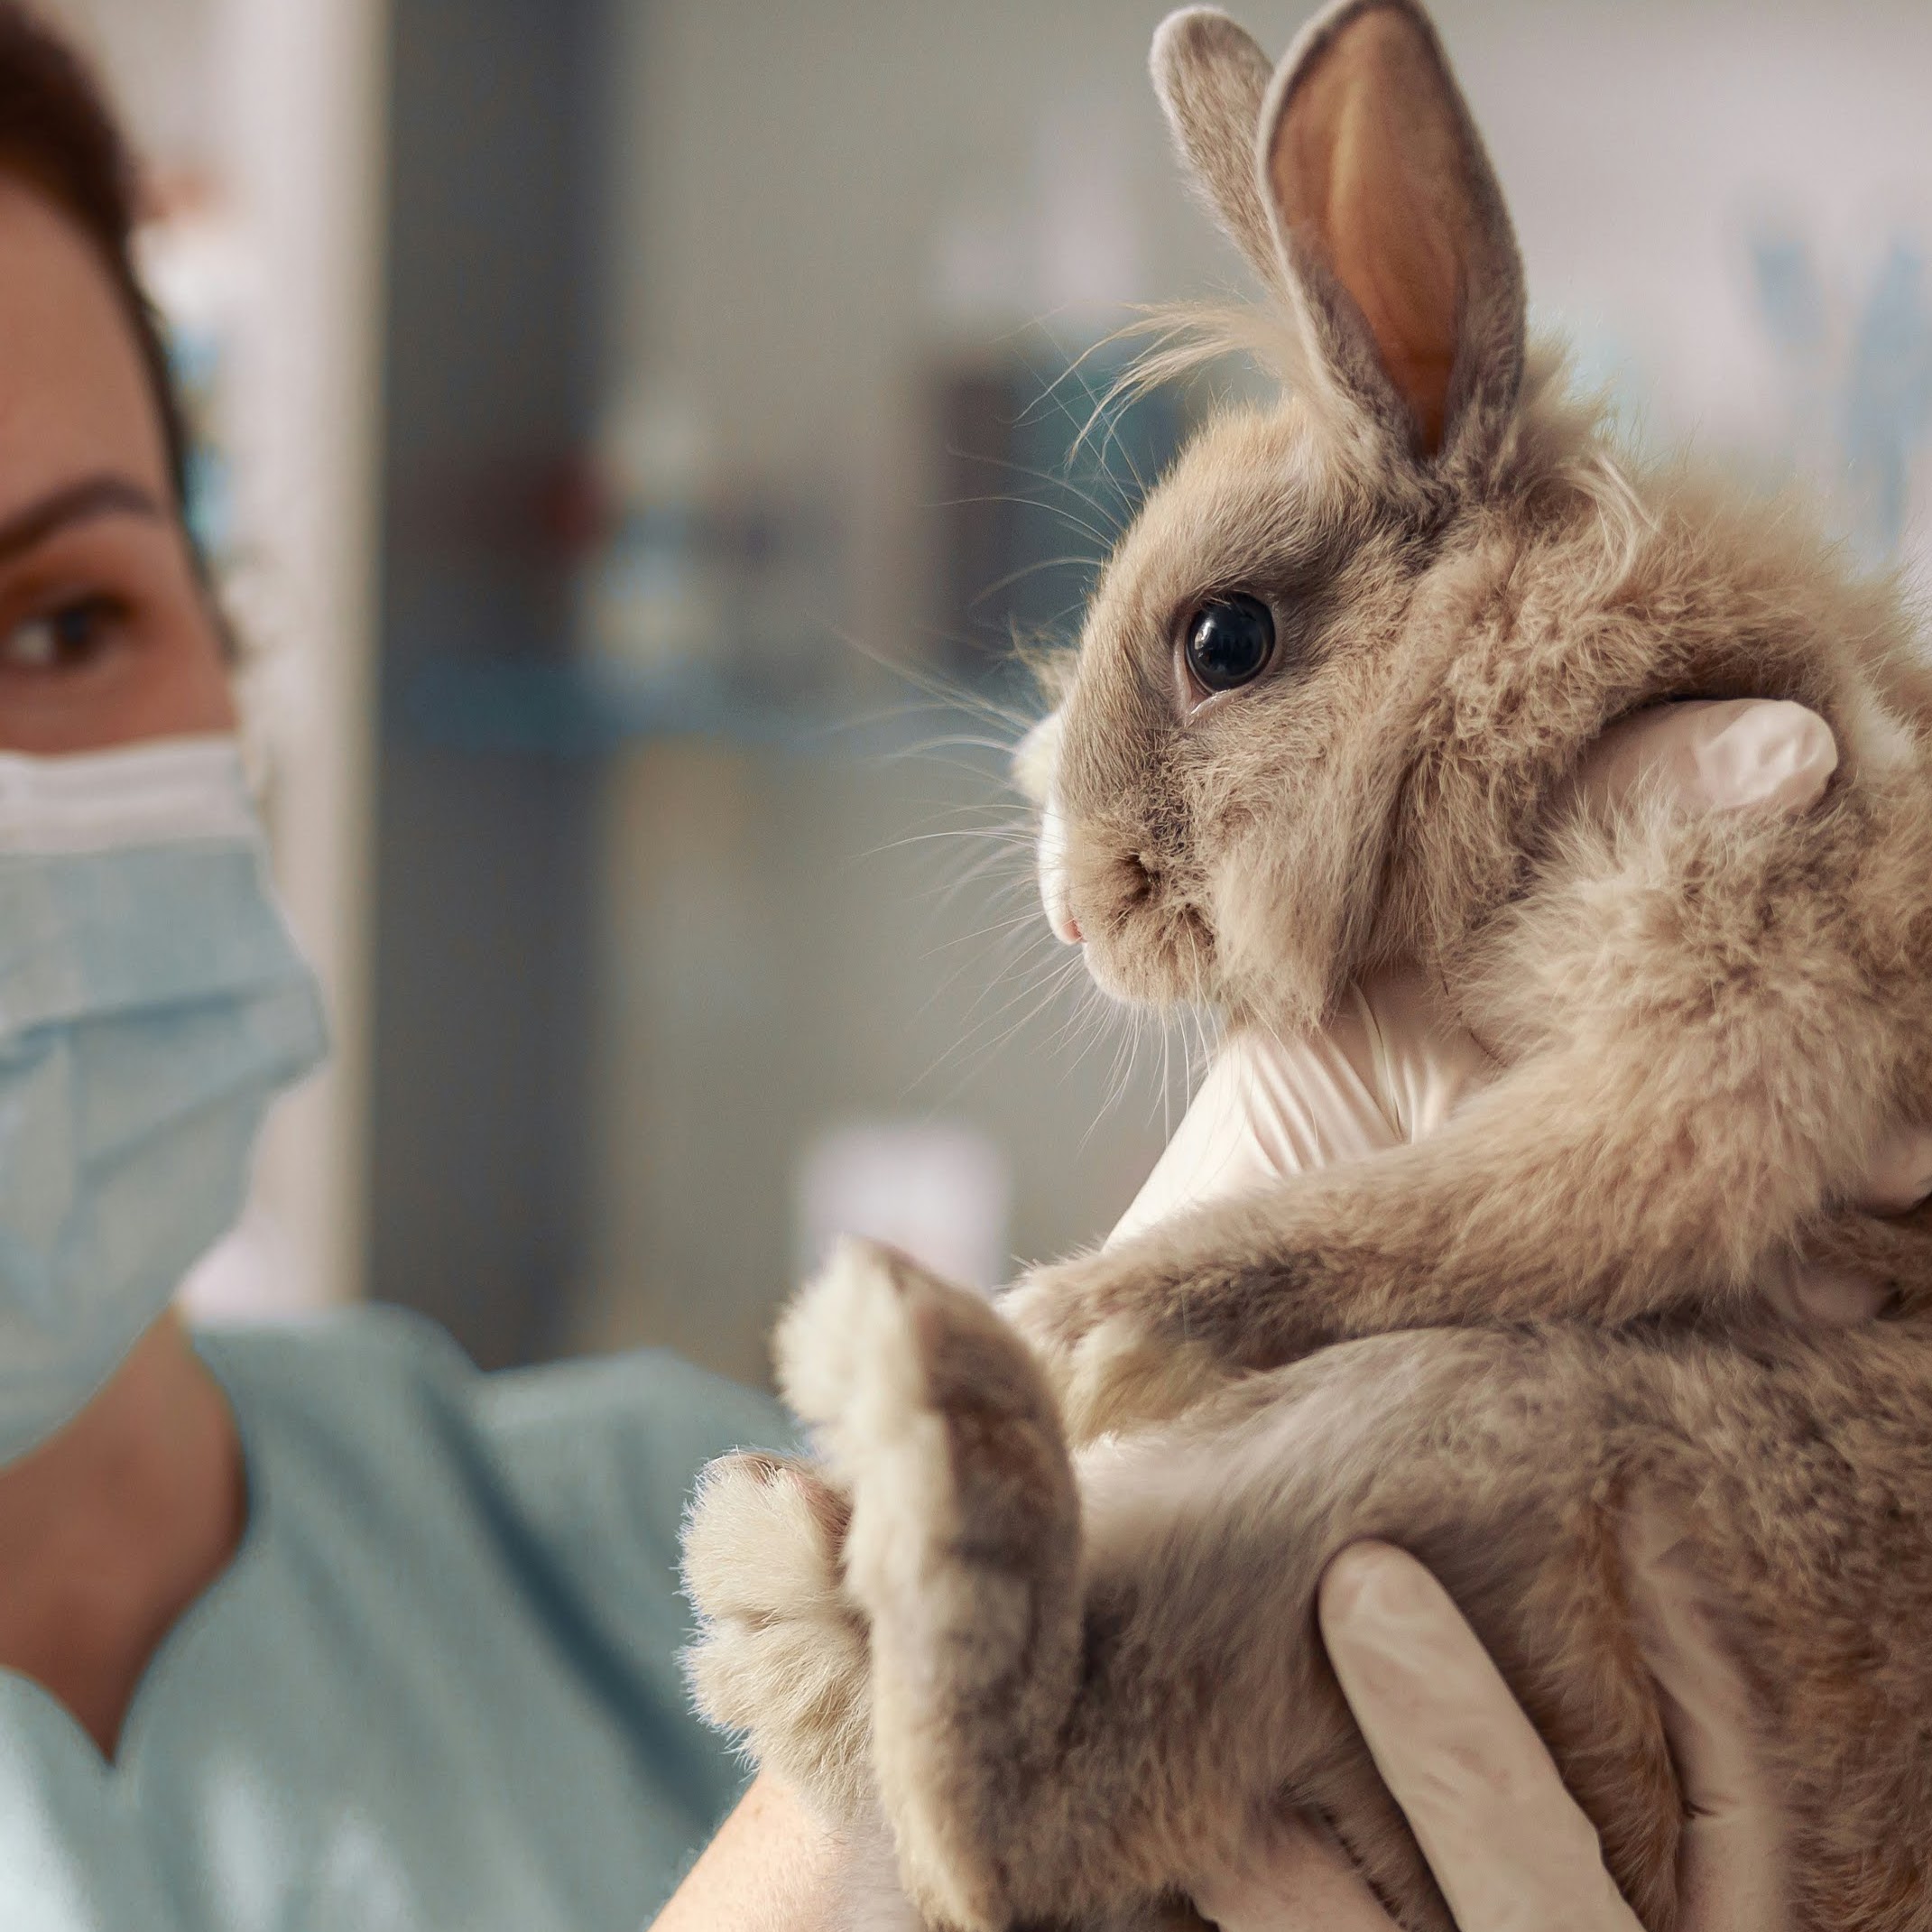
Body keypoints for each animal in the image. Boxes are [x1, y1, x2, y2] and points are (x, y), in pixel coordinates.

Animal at [688, 4, 1932, 1932]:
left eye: (1225, 640)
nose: (1074, 909)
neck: (1566, 671)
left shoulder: (1757, 960)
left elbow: (1516, 1192)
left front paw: (1088, 1323)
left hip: (1482, 1447)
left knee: (1015, 1804)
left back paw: (904, 1428)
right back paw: (804, 1526)